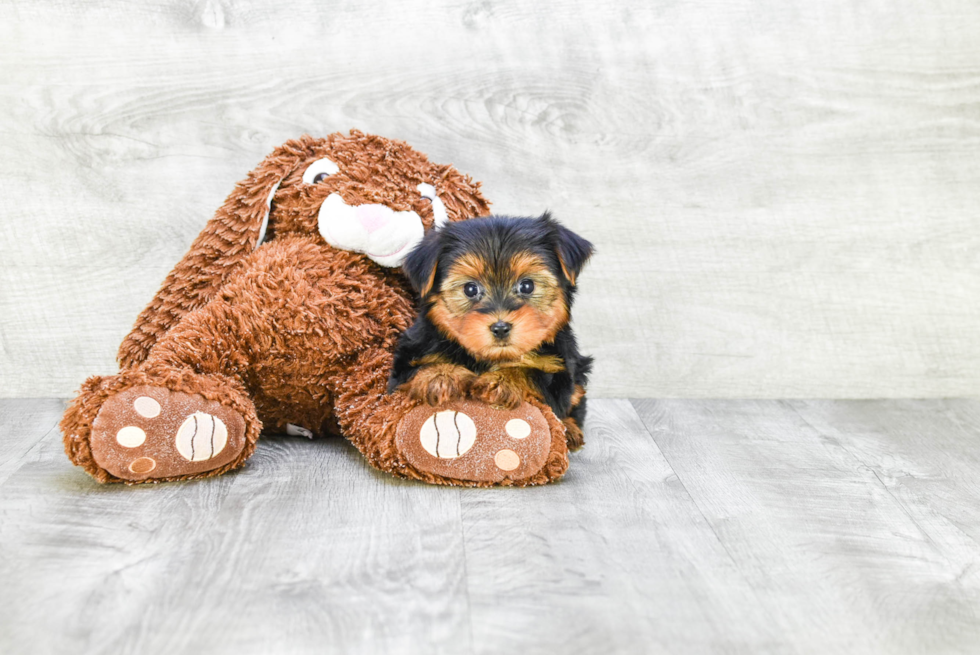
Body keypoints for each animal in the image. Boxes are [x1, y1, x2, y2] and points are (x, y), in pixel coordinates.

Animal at [386, 215, 592, 452]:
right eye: (470, 289)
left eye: (527, 286)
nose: (500, 327)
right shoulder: (407, 360)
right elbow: (413, 372)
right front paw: (439, 375)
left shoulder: (558, 370)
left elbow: (535, 375)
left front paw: (504, 379)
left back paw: (571, 431)